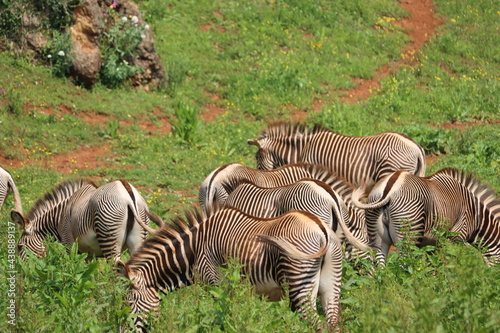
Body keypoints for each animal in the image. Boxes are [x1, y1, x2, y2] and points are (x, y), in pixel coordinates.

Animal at [13, 178, 154, 260]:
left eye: (19, 246)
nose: (24, 274)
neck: (59, 216)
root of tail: (127, 192)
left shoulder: (68, 243)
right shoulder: (90, 252)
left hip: (109, 238)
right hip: (139, 236)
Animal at [118, 208, 344, 330]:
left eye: (129, 303)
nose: (122, 330)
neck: (194, 250)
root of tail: (321, 228)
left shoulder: (215, 283)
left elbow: (222, 316)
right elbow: (235, 315)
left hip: (299, 286)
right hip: (330, 286)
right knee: (333, 324)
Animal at [352, 167, 500, 266]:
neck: (476, 215)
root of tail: (389, 189)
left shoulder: (432, 243)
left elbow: (433, 265)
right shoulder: (456, 237)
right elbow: (451, 262)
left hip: (377, 235)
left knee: (379, 266)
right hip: (408, 234)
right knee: (404, 265)